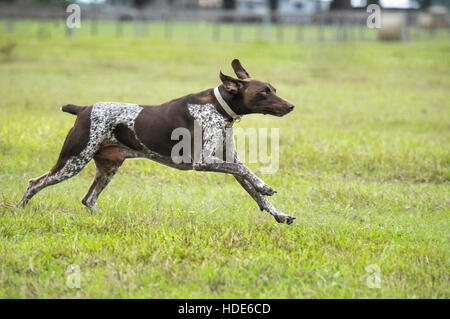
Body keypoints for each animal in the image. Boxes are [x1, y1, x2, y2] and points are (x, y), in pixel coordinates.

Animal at [17, 59, 296, 225]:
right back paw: (19, 209)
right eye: (264, 92)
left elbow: (254, 191)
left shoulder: (226, 160)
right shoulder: (203, 161)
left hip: (108, 167)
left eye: (274, 89)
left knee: (88, 199)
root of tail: (83, 109)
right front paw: (264, 185)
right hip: (72, 162)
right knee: (35, 183)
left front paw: (279, 213)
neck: (218, 108)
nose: (292, 105)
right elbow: (246, 171)